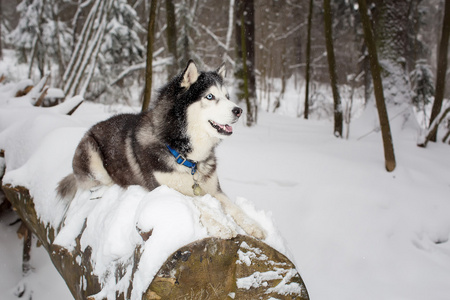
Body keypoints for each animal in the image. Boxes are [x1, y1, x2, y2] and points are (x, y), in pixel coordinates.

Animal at [57, 60, 266, 239]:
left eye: (227, 97)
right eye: (210, 96)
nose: (239, 110)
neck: (184, 155)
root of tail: (92, 127)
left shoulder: (214, 189)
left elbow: (234, 207)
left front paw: (254, 225)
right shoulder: (164, 189)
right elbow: (195, 202)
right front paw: (220, 226)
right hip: (92, 154)